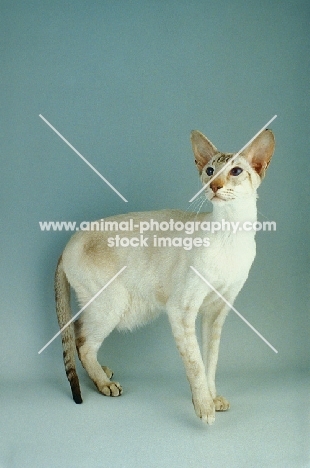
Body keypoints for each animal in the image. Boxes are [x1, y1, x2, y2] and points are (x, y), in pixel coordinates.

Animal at [54, 128, 274, 424]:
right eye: (210, 170)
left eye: (236, 171)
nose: (214, 185)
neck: (232, 233)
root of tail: (67, 245)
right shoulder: (181, 310)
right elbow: (195, 363)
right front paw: (204, 407)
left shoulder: (217, 310)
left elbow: (211, 360)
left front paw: (213, 398)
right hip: (114, 304)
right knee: (83, 342)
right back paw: (105, 384)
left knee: (78, 332)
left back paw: (103, 373)